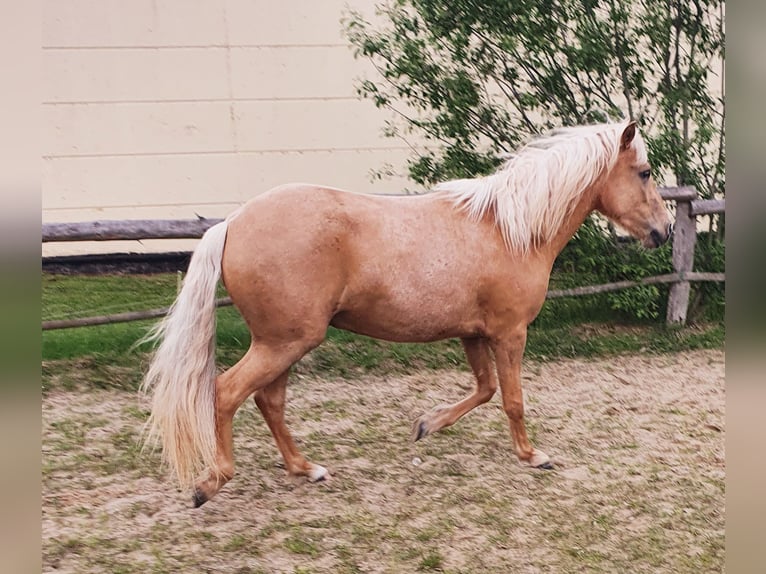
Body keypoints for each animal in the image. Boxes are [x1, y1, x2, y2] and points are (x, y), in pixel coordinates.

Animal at [141, 121, 676, 508]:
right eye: (645, 172)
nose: (664, 231)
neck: (510, 229)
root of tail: (232, 223)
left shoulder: (472, 333)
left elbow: (484, 390)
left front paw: (426, 425)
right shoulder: (509, 333)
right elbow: (512, 399)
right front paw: (531, 456)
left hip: (284, 343)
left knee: (268, 402)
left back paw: (306, 469)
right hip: (283, 342)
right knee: (226, 393)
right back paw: (211, 483)